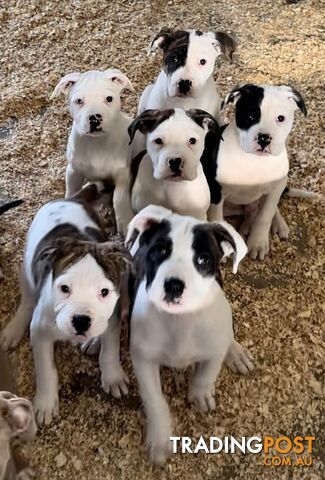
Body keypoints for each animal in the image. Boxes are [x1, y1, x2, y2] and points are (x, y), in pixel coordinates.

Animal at [0, 183, 130, 424]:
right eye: (64, 289)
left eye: (104, 292)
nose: (81, 320)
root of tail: (73, 199)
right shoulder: (40, 333)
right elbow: (46, 369)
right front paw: (45, 403)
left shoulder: (112, 320)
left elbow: (109, 351)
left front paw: (113, 376)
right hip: (27, 268)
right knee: (27, 300)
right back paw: (13, 330)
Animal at [125, 205, 254, 464]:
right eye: (160, 251)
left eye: (203, 259)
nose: (174, 285)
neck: (181, 321)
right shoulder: (143, 359)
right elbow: (155, 400)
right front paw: (160, 440)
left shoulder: (213, 350)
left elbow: (206, 374)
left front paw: (199, 393)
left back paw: (235, 352)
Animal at [205, 84, 306, 260]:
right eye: (250, 116)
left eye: (280, 118)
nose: (264, 138)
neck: (255, 161)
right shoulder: (216, 192)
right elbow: (217, 219)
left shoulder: (275, 188)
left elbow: (265, 215)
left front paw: (258, 243)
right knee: (249, 211)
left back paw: (278, 225)